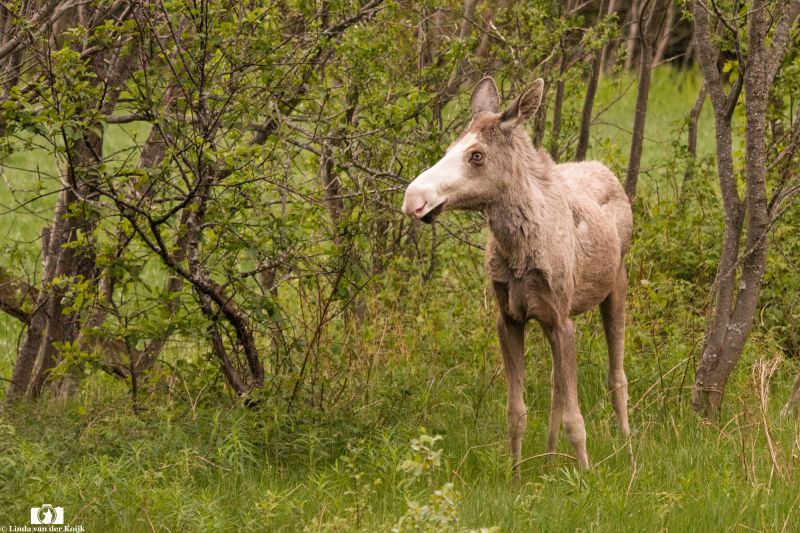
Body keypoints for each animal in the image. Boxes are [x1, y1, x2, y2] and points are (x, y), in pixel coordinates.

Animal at [401, 77, 632, 478]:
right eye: (448, 149)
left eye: (476, 155)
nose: (414, 198)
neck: (517, 250)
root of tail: (607, 172)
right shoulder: (511, 318)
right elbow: (516, 411)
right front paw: (516, 475)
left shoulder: (561, 319)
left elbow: (575, 416)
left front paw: (585, 474)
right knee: (556, 385)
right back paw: (552, 457)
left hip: (615, 284)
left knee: (616, 375)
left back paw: (629, 449)